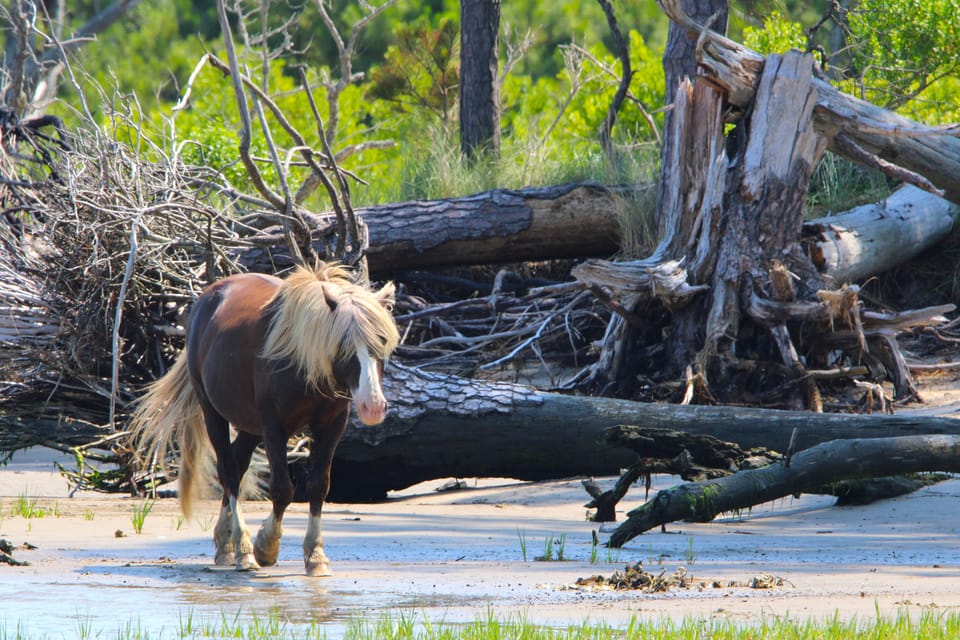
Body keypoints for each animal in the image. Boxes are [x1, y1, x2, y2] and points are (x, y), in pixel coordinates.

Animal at [128, 262, 398, 576]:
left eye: (382, 342)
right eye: (343, 345)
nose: (373, 406)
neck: (303, 360)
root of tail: (208, 298)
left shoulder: (332, 425)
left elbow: (319, 486)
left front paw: (316, 555)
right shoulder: (274, 427)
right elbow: (282, 489)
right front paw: (266, 547)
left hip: (250, 426)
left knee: (238, 462)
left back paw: (225, 543)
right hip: (213, 413)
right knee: (229, 472)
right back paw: (242, 549)